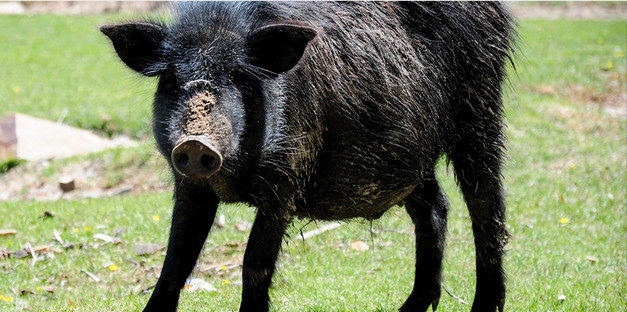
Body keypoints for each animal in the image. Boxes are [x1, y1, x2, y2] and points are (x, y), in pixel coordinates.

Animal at [102, 1, 516, 310]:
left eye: (239, 76)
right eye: (171, 78)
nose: (194, 143)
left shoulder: (289, 175)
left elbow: (255, 261)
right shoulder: (189, 185)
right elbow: (176, 259)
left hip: (480, 111)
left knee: (487, 205)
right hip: (408, 160)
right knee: (436, 207)